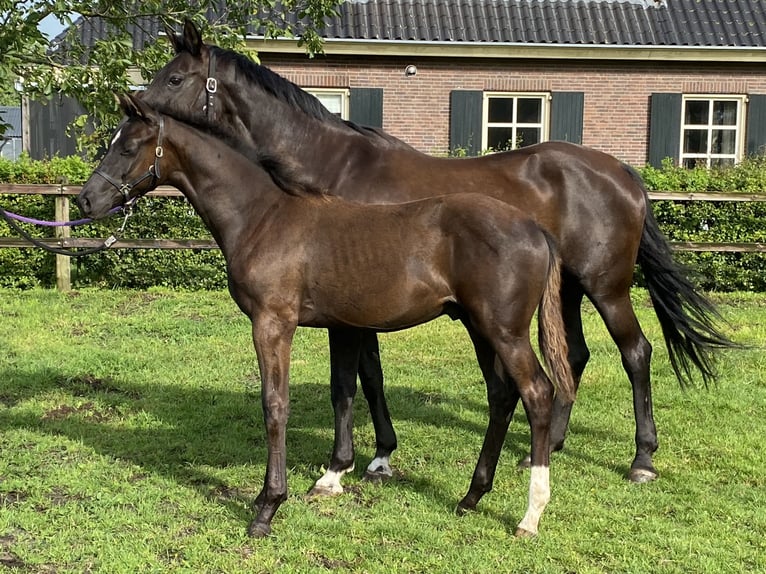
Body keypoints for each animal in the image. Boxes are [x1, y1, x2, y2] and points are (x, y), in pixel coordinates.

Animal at [81, 94, 580, 540]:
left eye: (128, 146)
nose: (87, 200)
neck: (263, 216)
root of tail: (536, 229)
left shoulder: (273, 323)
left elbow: (275, 404)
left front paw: (267, 508)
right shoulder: (338, 326)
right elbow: (341, 390)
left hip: (504, 330)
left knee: (537, 393)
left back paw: (530, 516)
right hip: (479, 326)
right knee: (502, 395)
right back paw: (472, 496)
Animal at [141, 20, 740, 492]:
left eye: (174, 78)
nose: (135, 114)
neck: (331, 165)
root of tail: (623, 175)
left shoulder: (353, 308)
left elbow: (353, 380)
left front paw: (347, 464)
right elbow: (370, 376)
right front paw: (380, 454)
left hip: (607, 287)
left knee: (635, 354)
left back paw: (641, 460)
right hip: (565, 290)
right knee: (571, 358)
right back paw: (547, 448)